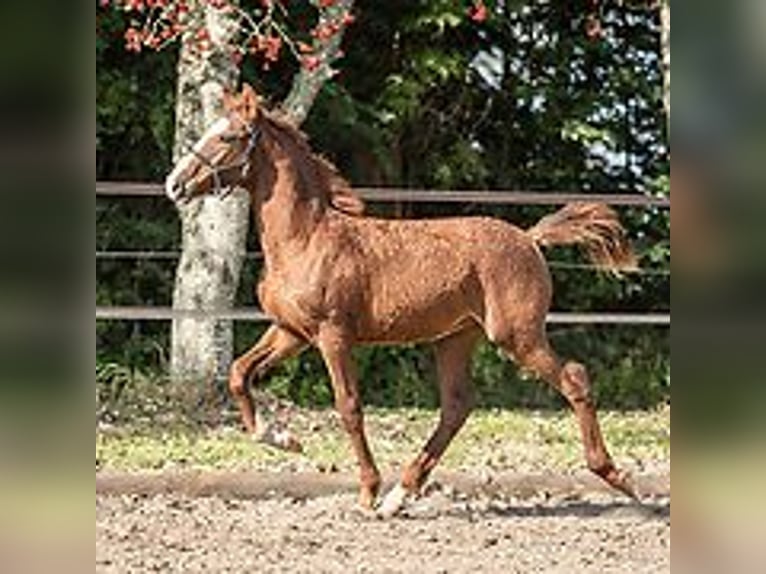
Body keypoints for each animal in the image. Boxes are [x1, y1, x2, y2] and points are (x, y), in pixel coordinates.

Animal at [166, 83, 640, 520]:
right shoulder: (291, 332)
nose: (174, 184)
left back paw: (619, 478)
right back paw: (401, 495)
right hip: (455, 338)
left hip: (517, 335)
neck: (305, 236)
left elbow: (349, 407)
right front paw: (284, 439)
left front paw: (367, 492)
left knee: (574, 378)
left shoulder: (332, 335)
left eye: (228, 136)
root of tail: (530, 238)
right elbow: (238, 372)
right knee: (457, 406)